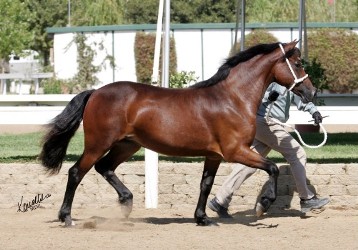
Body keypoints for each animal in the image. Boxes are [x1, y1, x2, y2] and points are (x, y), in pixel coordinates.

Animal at [39, 40, 316, 227]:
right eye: (298, 63)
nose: (311, 92)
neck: (232, 98)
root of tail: (96, 92)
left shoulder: (214, 155)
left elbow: (206, 184)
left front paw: (202, 218)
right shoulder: (235, 151)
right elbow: (273, 168)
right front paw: (262, 205)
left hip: (127, 145)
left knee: (104, 168)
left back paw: (126, 203)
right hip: (98, 143)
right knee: (77, 172)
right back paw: (66, 217)